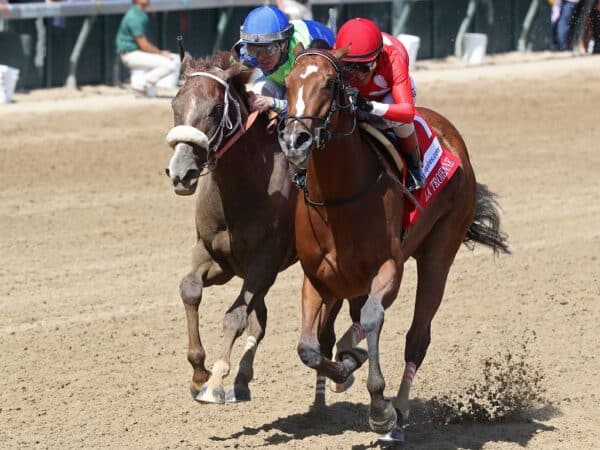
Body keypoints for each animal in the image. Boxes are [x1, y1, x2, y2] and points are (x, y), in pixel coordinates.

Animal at [164, 51, 298, 404]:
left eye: (214, 109)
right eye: (174, 103)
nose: (181, 173)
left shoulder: (265, 261)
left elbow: (235, 315)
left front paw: (214, 381)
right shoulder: (215, 256)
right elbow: (190, 289)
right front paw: (199, 372)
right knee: (260, 320)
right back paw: (243, 378)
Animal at [278, 47, 508, 442]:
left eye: (329, 83)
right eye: (289, 82)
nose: (295, 140)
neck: (340, 198)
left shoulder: (389, 268)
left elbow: (373, 319)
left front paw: (380, 409)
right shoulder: (316, 278)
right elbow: (309, 347)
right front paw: (344, 369)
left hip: (440, 251)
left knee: (416, 337)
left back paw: (398, 416)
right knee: (346, 328)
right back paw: (350, 356)